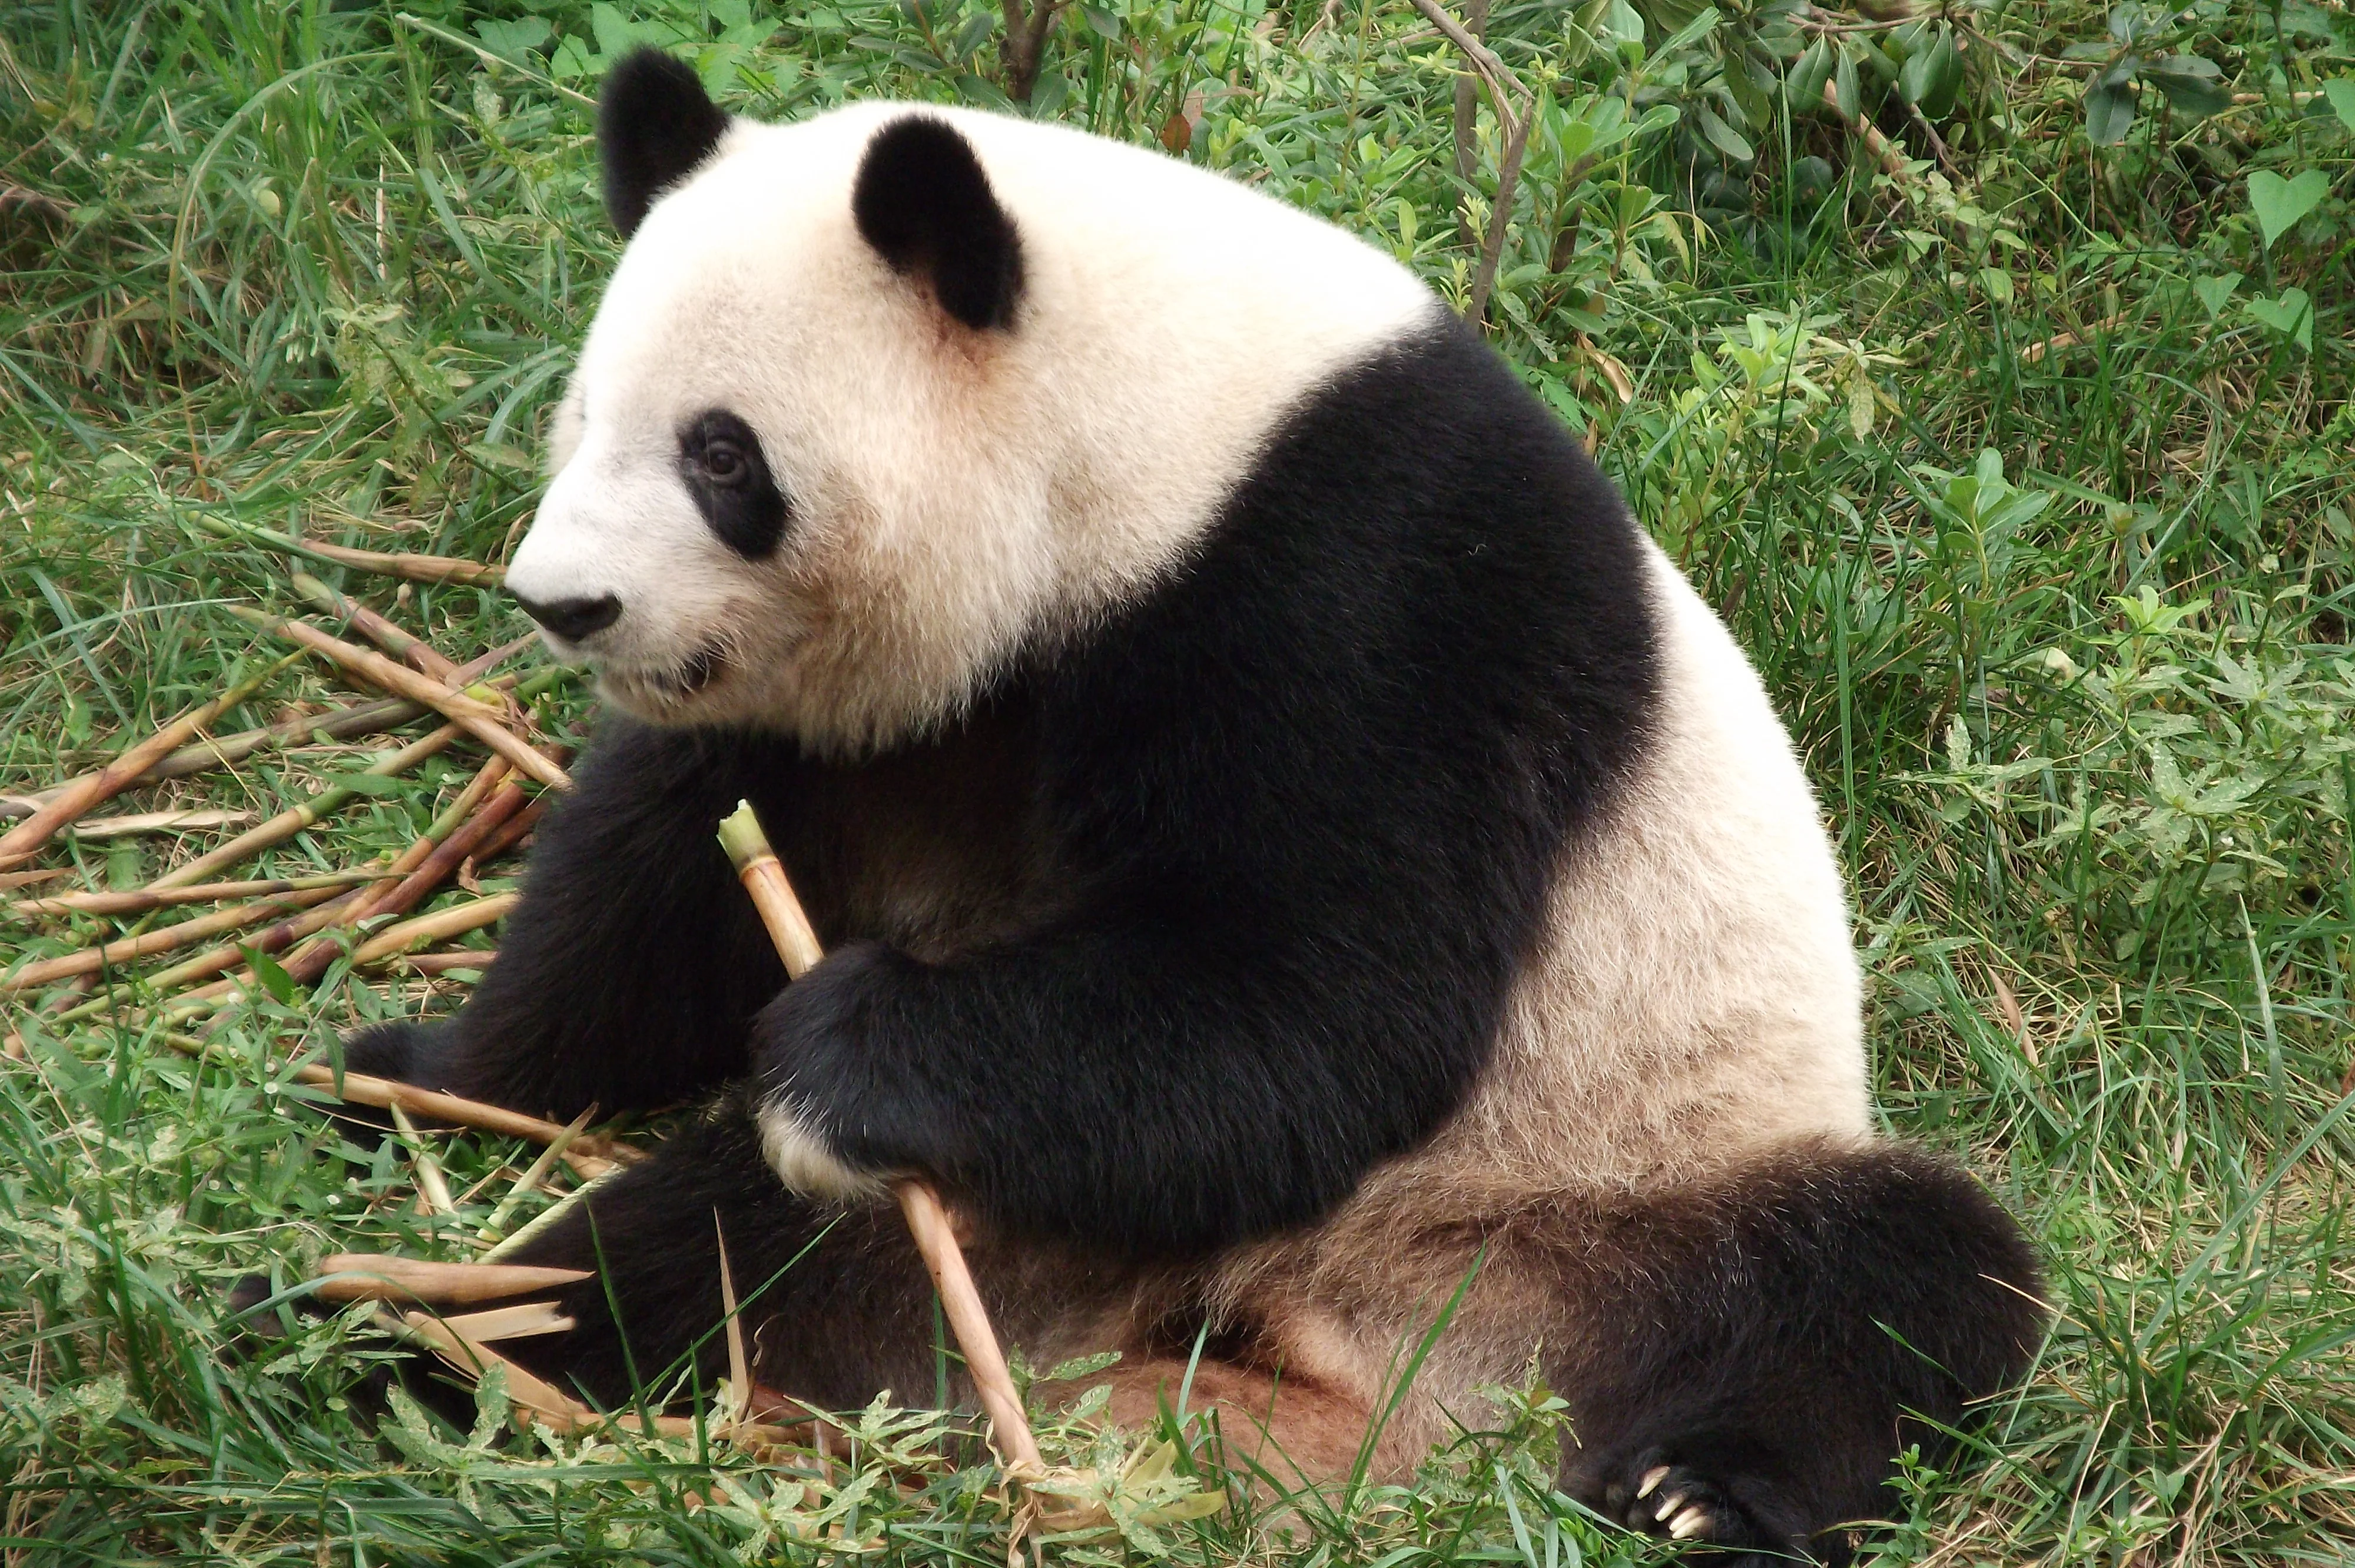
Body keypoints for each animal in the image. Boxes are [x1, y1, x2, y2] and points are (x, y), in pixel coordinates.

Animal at [344, 48, 2045, 1564]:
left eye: (720, 454)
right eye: (582, 418)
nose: (566, 604)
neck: (1135, 422)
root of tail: (1366, 1372)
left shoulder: (1372, 587)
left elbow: (1313, 1005)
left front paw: (839, 1047)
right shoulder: (899, 707)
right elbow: (666, 890)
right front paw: (424, 1067)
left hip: (1609, 1183)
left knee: (1902, 1277)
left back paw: (1710, 1488)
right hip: (987, 1233)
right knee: (698, 1259)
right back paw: (407, 1352)